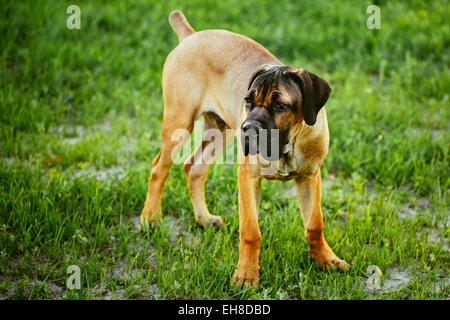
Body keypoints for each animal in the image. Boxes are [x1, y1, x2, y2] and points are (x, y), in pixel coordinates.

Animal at [141, 10, 348, 286]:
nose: (248, 128)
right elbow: (251, 230)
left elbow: (315, 224)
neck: (286, 146)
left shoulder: (309, 177)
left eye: (281, 105)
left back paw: (204, 219)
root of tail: (190, 36)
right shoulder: (248, 176)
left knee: (194, 167)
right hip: (180, 121)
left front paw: (326, 260)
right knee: (159, 168)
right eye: (248, 100)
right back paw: (150, 218)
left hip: (220, 130)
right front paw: (246, 275)